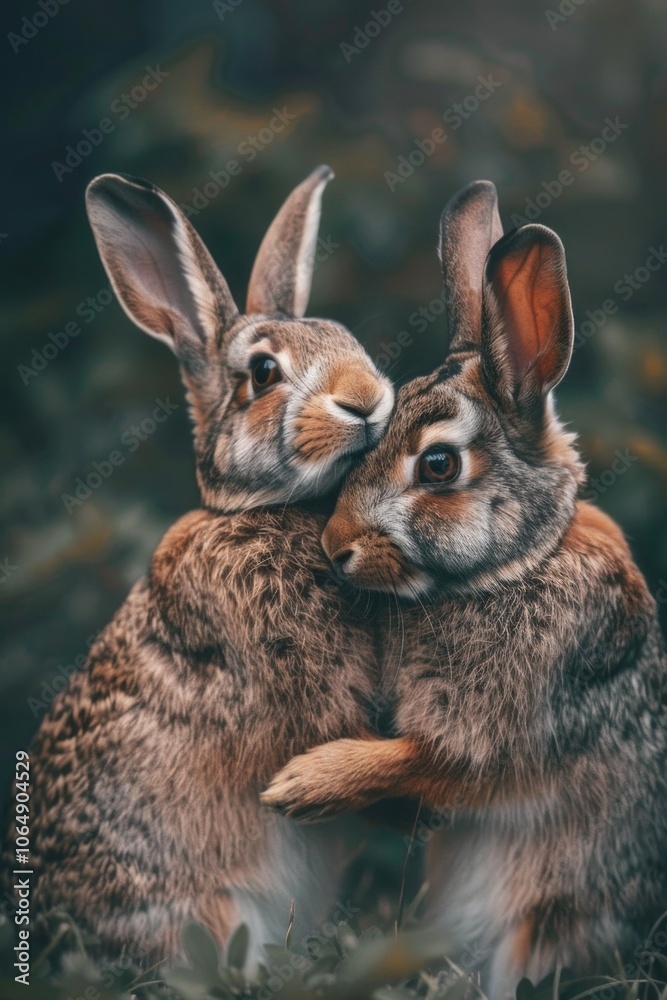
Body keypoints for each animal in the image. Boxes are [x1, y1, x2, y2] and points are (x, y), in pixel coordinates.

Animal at [262, 180, 667, 996]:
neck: (515, 567)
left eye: (439, 466)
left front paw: (303, 785)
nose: (335, 548)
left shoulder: (498, 737)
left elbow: (423, 761)